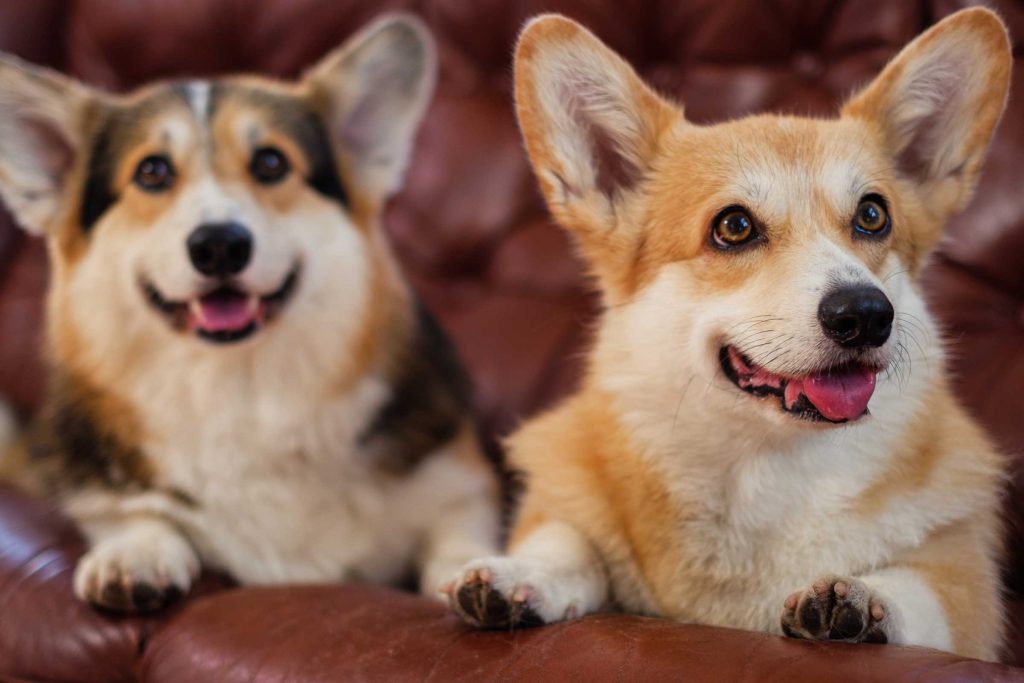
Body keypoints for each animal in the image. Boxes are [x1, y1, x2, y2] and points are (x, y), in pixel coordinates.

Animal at [0, 14, 499, 614]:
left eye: (270, 163)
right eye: (151, 172)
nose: (219, 245)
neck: (241, 387)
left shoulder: (463, 484)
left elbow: (458, 533)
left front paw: (475, 573)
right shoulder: (100, 488)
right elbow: (137, 513)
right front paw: (133, 556)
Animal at [450, 9, 1015, 663]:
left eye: (873, 215)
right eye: (735, 226)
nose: (868, 313)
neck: (764, 465)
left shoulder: (964, 596)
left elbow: (919, 592)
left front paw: (860, 598)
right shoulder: (567, 505)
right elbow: (567, 541)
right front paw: (518, 575)